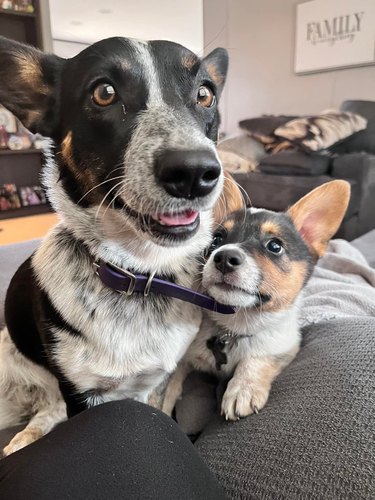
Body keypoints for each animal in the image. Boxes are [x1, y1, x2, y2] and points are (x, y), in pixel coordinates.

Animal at [0, 36, 238, 454]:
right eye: (104, 92)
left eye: (205, 94)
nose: (195, 172)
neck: (140, 274)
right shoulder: (81, 394)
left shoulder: (155, 380)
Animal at [163, 181, 352, 422]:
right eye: (217, 239)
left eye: (275, 246)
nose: (224, 258)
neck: (235, 326)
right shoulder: (183, 358)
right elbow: (168, 385)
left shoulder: (284, 347)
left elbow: (258, 359)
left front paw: (243, 388)